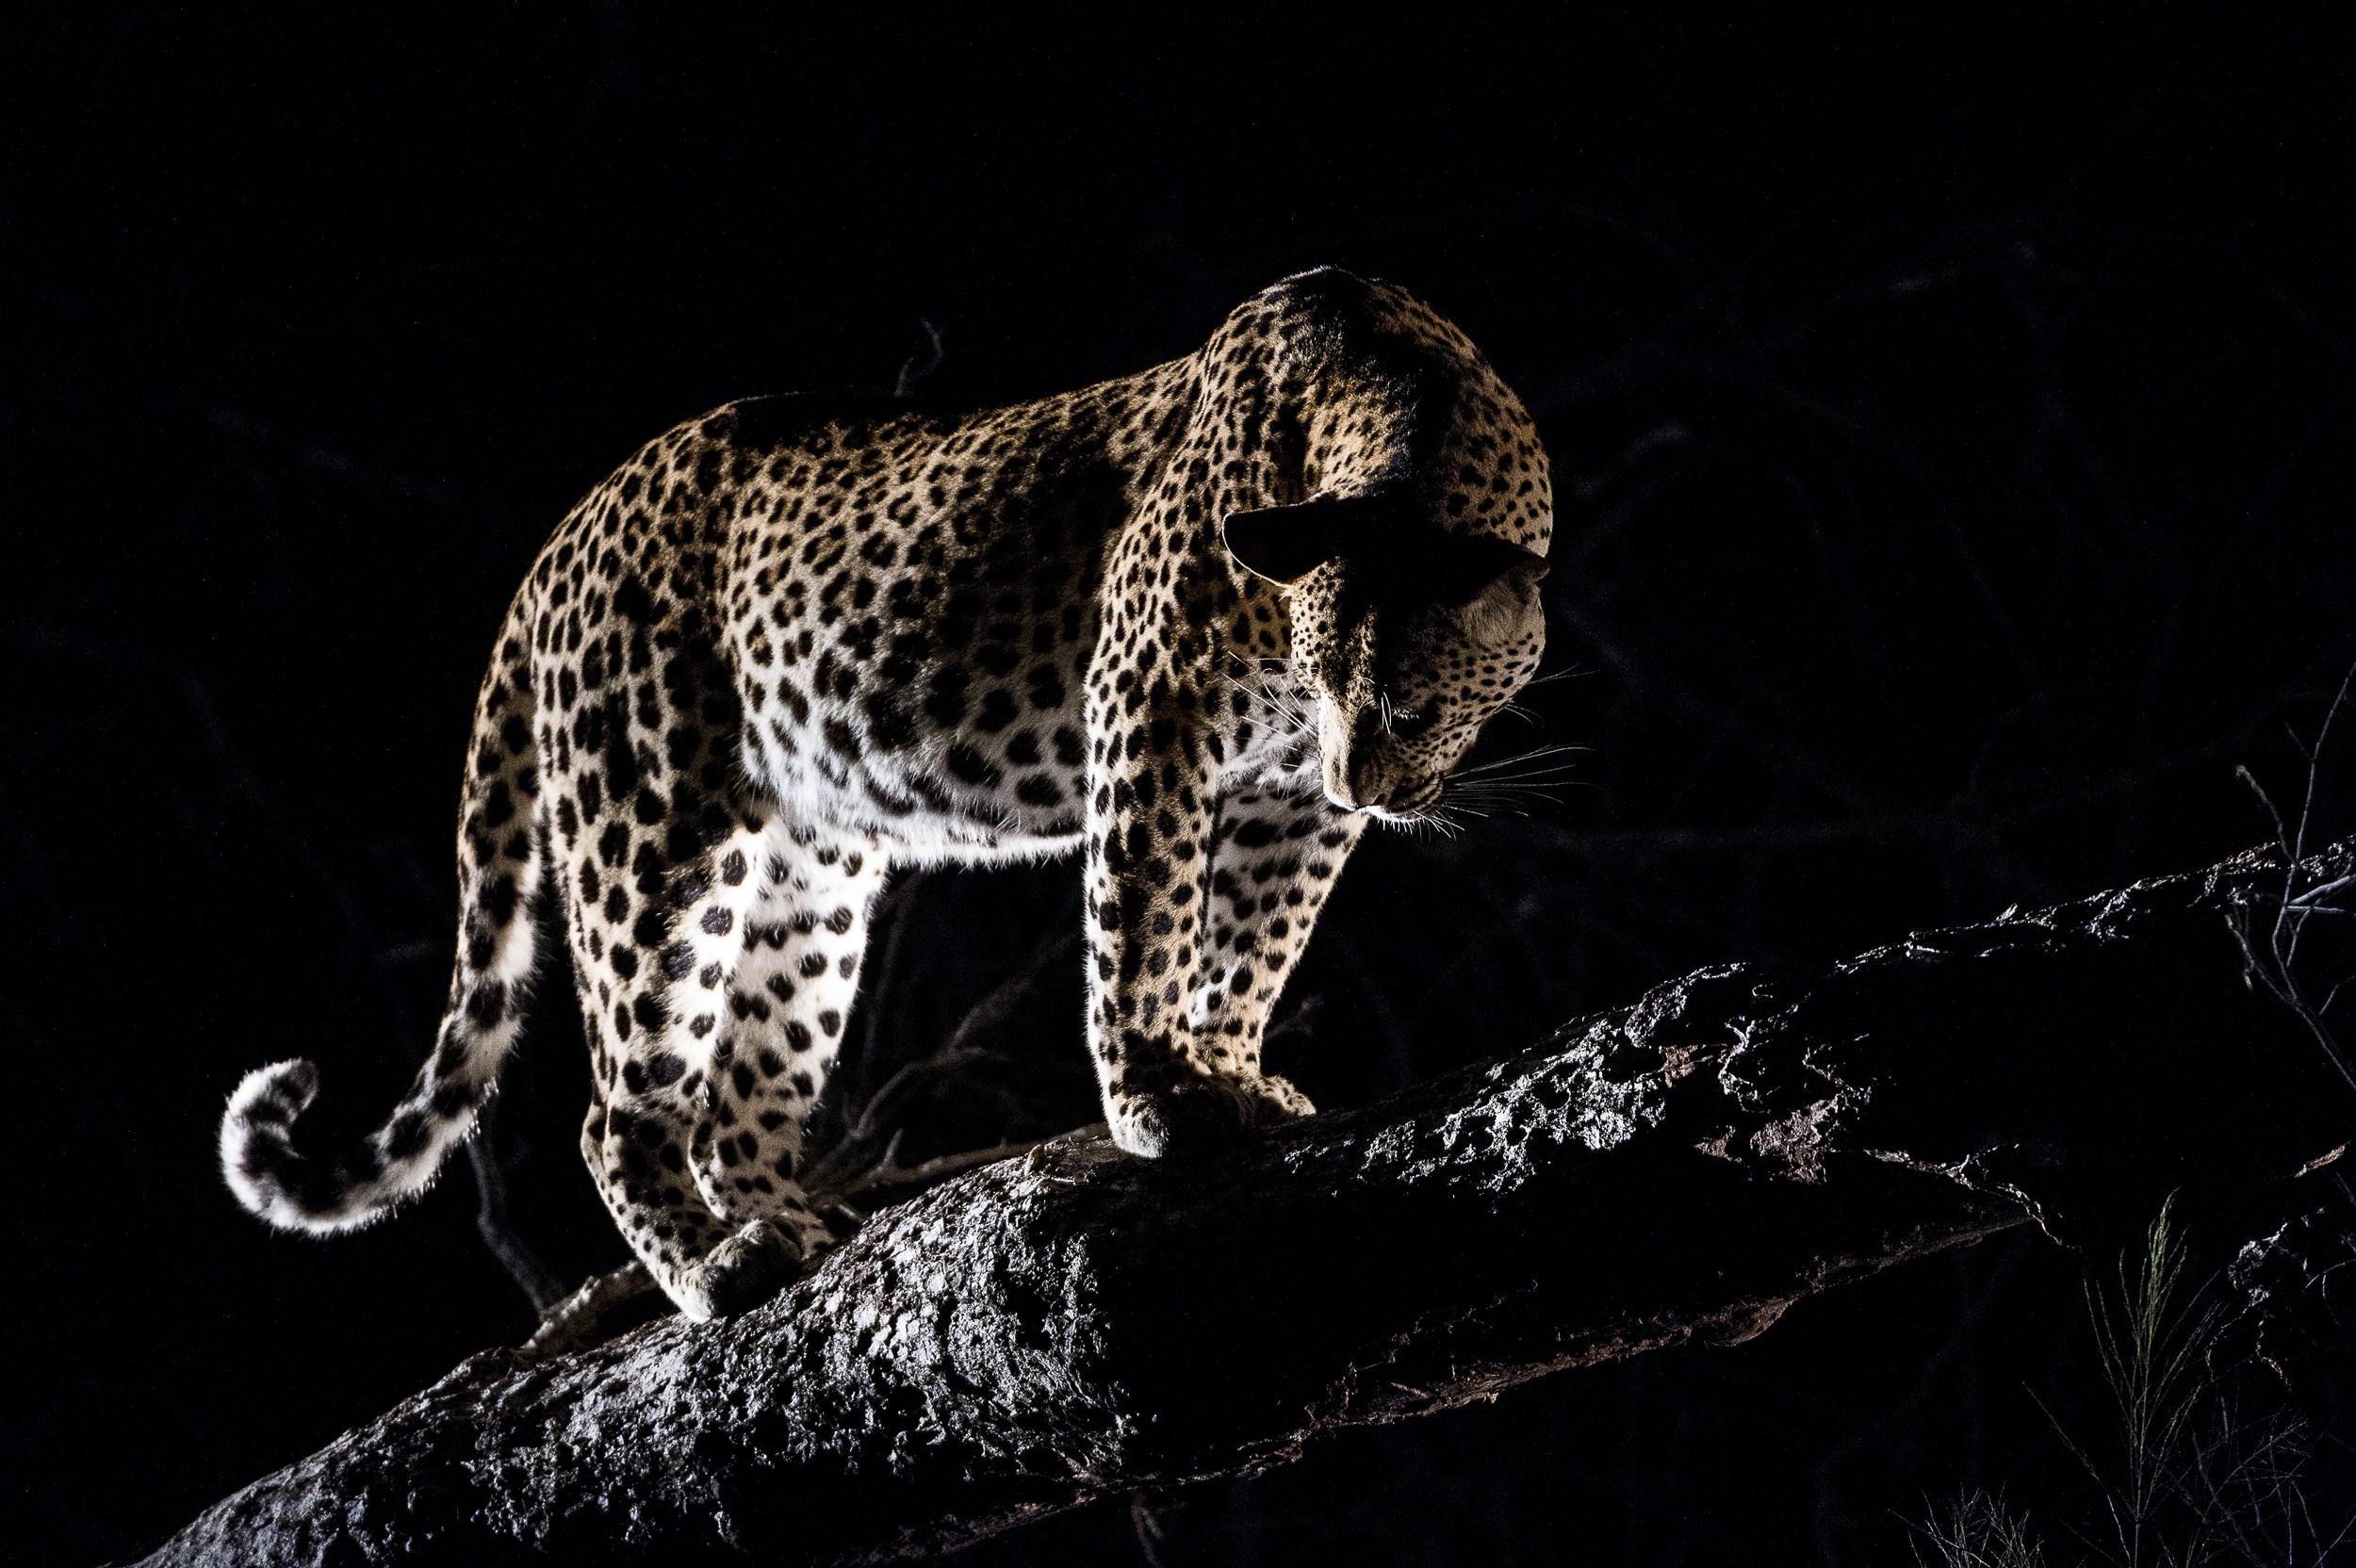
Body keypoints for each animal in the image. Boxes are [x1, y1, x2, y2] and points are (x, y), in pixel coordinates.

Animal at [220, 267, 1553, 1320]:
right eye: (1341, 690)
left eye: (1407, 709)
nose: (1362, 781)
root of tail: (557, 547)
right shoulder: (1150, 703)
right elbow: (1146, 919)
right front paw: (1162, 1098)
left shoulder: (1284, 796)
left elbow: (1253, 937)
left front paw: (1231, 1067)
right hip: (648, 837)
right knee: (624, 1107)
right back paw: (716, 1266)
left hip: (810, 872)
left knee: (739, 1095)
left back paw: (797, 1225)